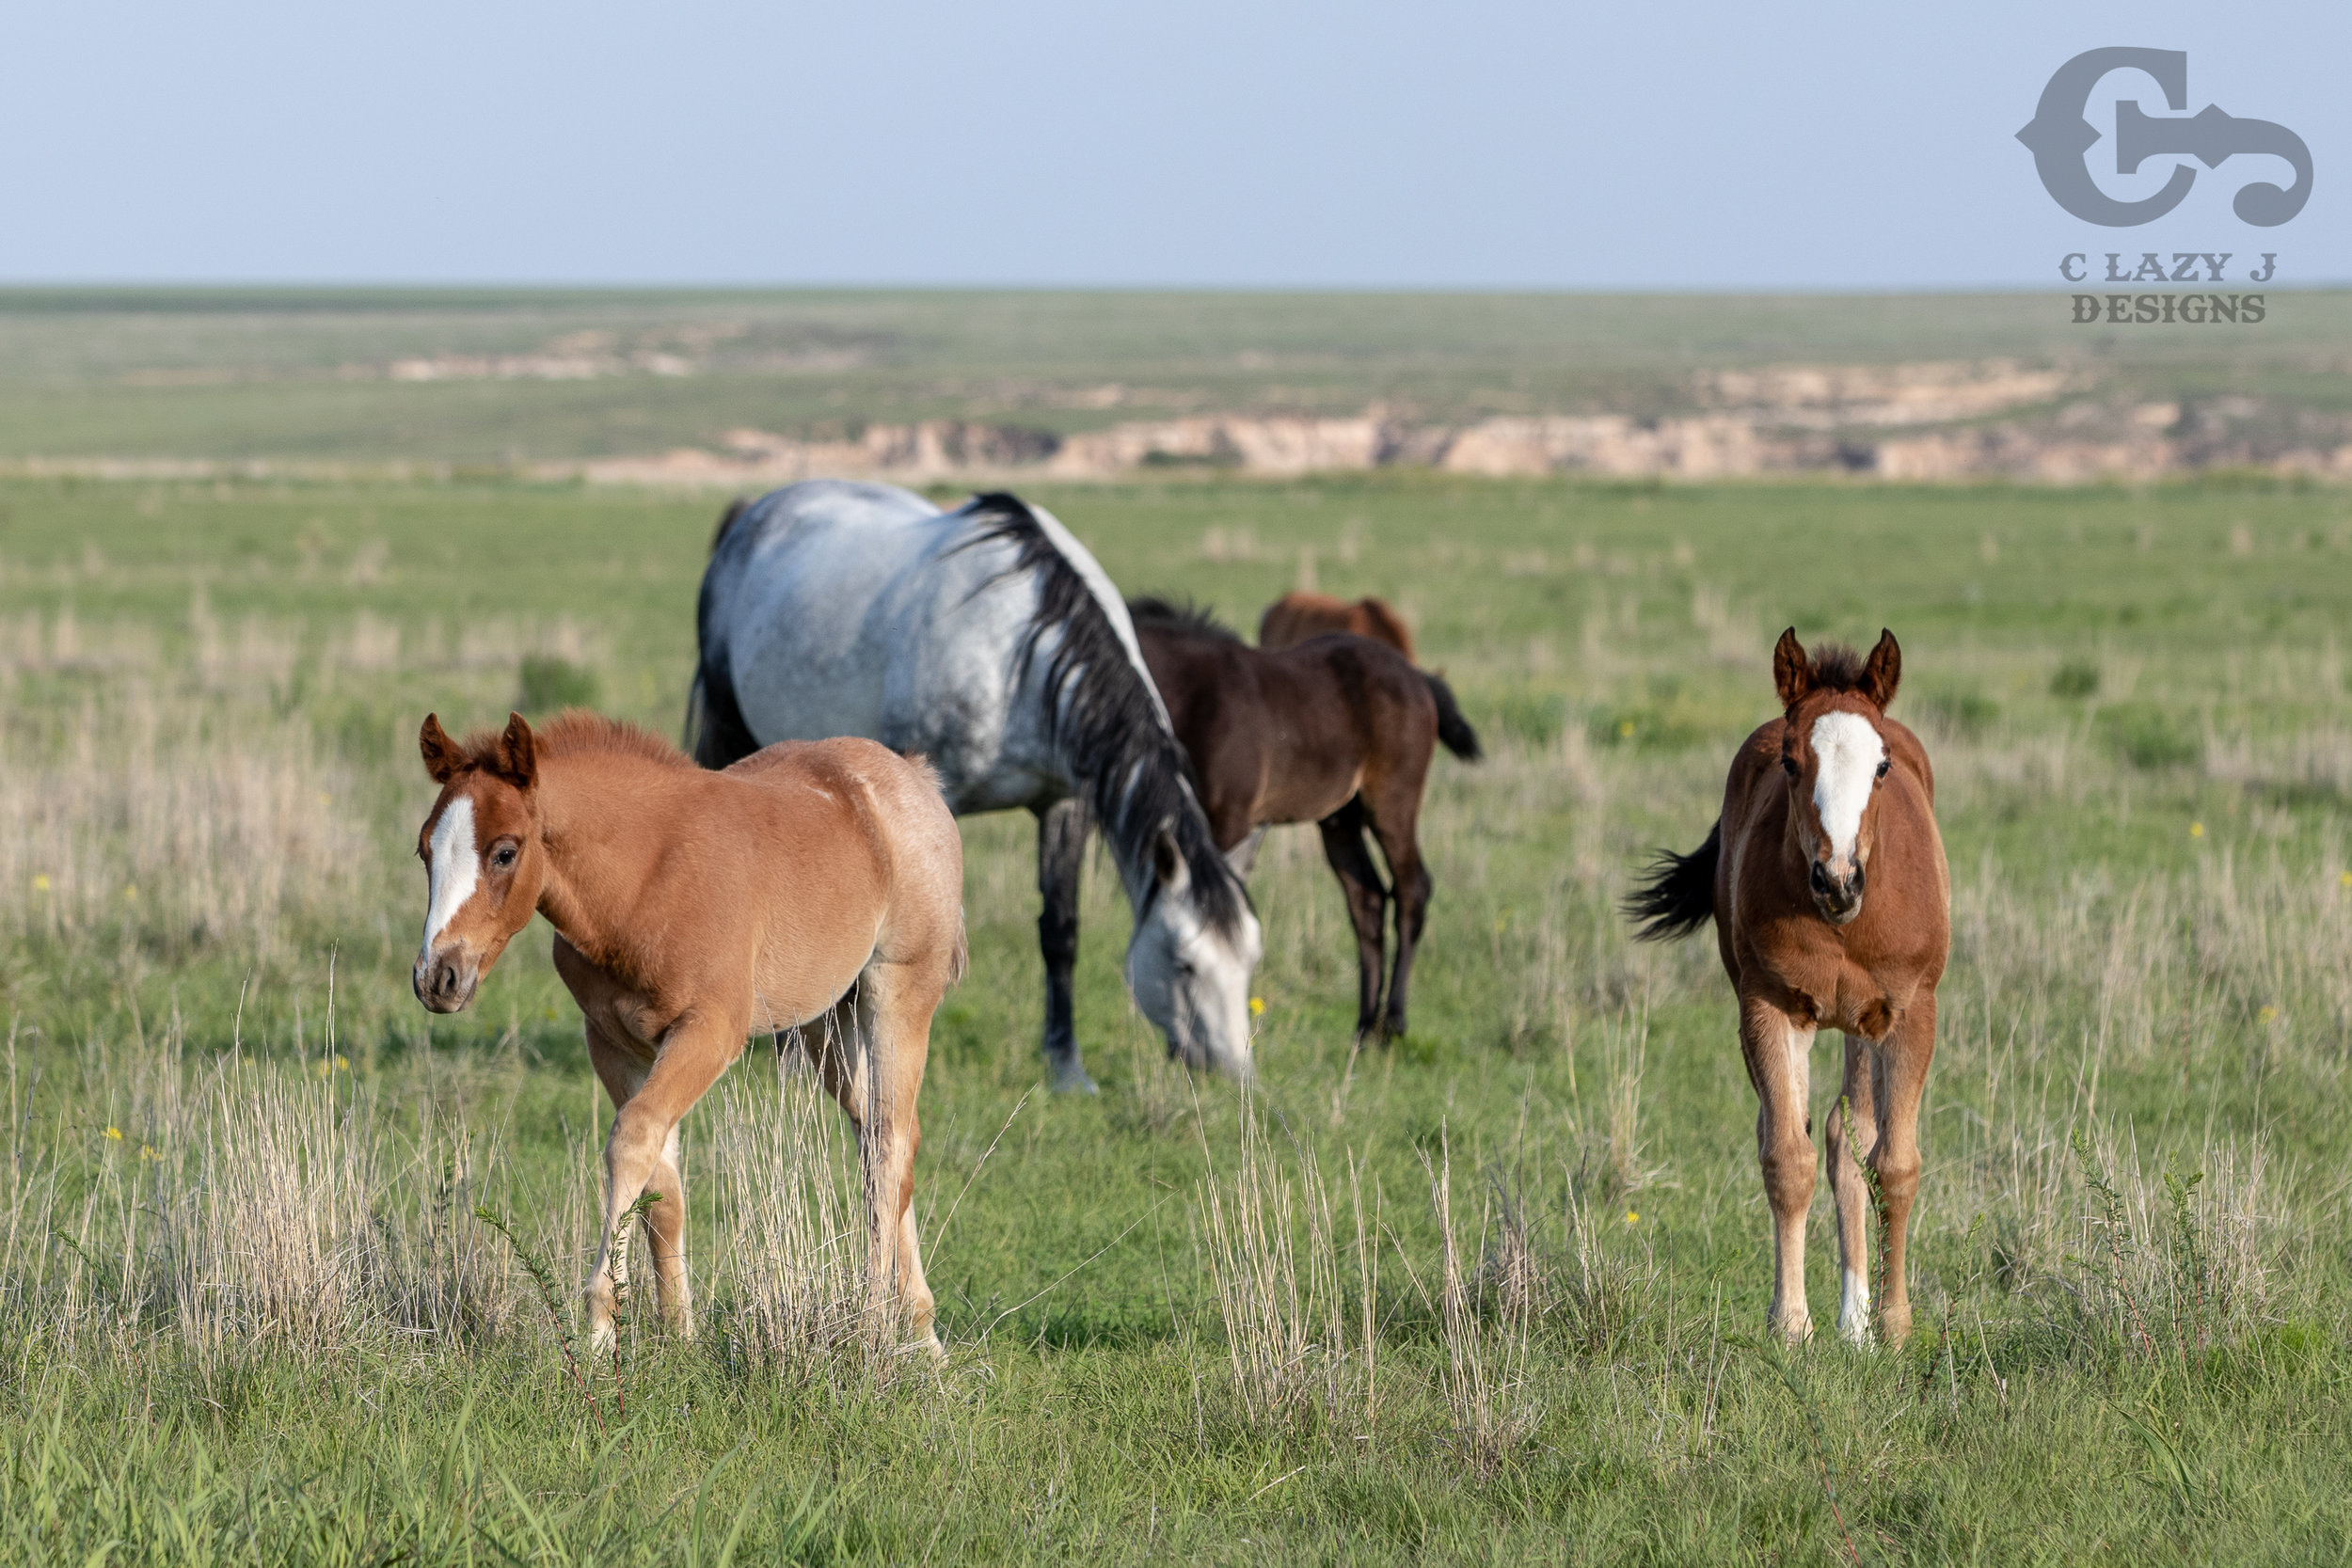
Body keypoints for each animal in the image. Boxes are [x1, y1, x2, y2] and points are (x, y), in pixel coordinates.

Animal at [410, 710, 966, 1356]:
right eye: (424, 849)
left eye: (505, 851)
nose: (437, 978)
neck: (646, 881)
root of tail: (912, 777)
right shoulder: (616, 1043)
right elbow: (663, 1185)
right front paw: (679, 1336)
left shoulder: (709, 1032)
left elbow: (631, 1140)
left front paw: (600, 1328)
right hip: (828, 1023)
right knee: (881, 1133)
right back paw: (921, 1332)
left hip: (898, 996)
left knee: (888, 1145)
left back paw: (877, 1319)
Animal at [686, 480, 1261, 1094]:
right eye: (1184, 963)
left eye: (1250, 960)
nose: (1234, 1070)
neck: (1020, 658)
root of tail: (754, 514)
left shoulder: (1063, 803)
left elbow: (1060, 933)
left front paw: (1066, 1066)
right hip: (732, 733)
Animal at [1626, 629, 1948, 1346]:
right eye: (1792, 764)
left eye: (1882, 766)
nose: (1838, 878)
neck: (1844, 924)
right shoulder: (1769, 1009)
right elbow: (1786, 1159)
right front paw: (1791, 1323)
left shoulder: (1910, 1013)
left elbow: (1895, 1164)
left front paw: (1894, 1324)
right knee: (1806, 1133)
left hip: (1861, 1025)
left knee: (1850, 1136)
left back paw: (1857, 1320)